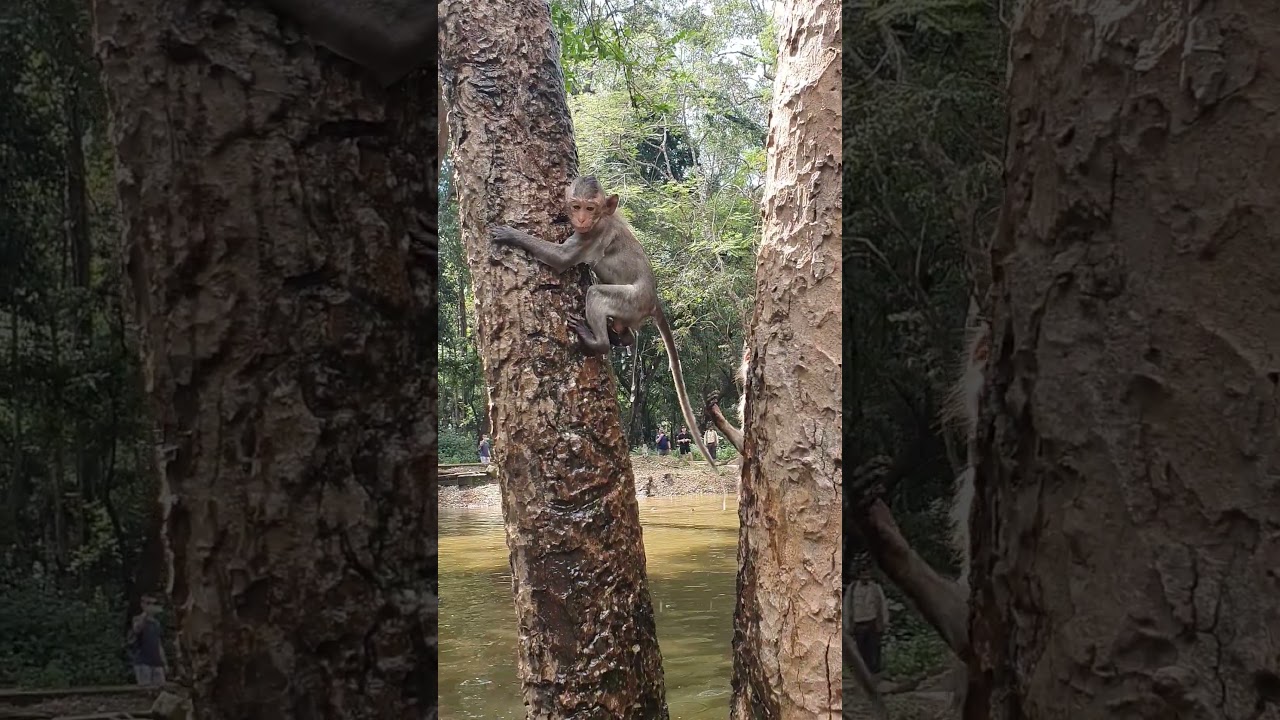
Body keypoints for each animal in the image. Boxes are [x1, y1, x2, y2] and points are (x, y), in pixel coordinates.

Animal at [491, 177, 716, 468]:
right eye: (576, 206)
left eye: (590, 208)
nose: (581, 219)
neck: (602, 219)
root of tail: (653, 299)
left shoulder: (592, 236)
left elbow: (561, 260)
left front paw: (511, 235)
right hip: (630, 310)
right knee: (622, 325)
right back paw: (621, 336)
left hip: (630, 300)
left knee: (597, 294)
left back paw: (598, 342)